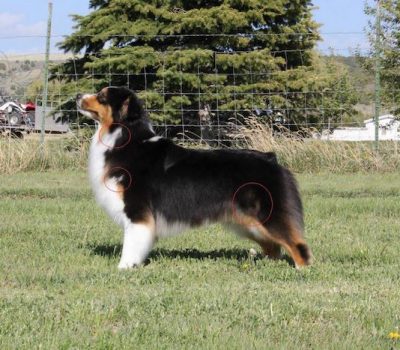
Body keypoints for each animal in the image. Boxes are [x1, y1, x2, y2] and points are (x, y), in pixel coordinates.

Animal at [76, 87, 312, 268]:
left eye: (102, 96)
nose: (78, 95)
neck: (125, 137)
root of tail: (270, 158)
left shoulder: (137, 211)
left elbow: (131, 243)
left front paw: (124, 267)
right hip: (247, 221)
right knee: (274, 246)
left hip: (267, 214)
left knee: (296, 244)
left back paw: (301, 270)